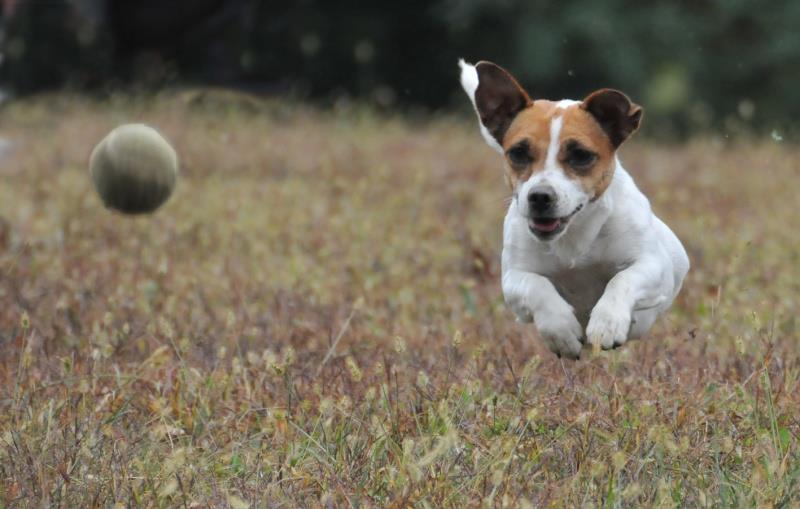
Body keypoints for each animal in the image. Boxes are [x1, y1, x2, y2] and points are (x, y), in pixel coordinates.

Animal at [460, 59, 692, 358]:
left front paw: (607, 323)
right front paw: (561, 331)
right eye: (518, 153)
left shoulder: (652, 264)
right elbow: (537, 287)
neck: (574, 234)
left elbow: (623, 280)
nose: (540, 196)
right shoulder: (513, 277)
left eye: (580, 155)